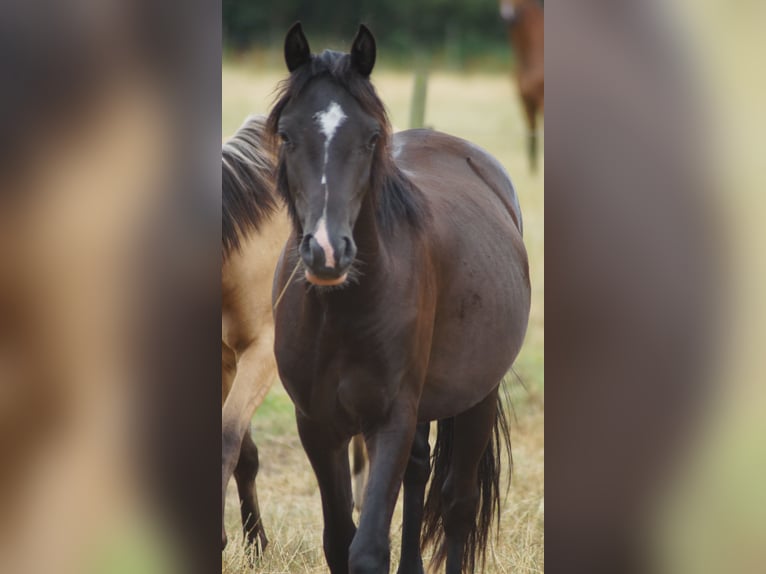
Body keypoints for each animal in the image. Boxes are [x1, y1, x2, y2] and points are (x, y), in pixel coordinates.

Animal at [269, 23, 530, 574]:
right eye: (286, 135)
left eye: (371, 137)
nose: (328, 251)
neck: (339, 315)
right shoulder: (317, 425)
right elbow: (338, 541)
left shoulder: (389, 420)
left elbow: (368, 549)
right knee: (419, 472)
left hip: (477, 396)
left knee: (456, 504)